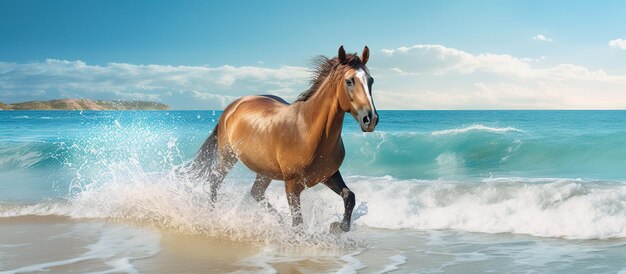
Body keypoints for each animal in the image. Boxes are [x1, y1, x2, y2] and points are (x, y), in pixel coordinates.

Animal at [190, 46, 376, 232]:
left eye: (371, 81)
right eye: (349, 81)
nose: (370, 119)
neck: (308, 132)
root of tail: (231, 107)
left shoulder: (329, 175)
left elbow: (349, 196)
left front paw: (336, 227)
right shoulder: (292, 186)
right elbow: (298, 224)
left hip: (264, 171)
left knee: (256, 192)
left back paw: (278, 220)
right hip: (227, 157)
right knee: (215, 181)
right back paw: (212, 216)